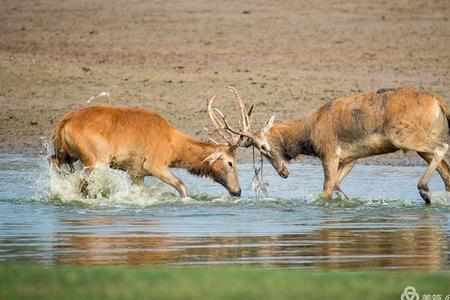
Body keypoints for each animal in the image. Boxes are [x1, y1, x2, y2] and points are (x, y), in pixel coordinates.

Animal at [51, 96, 251, 199]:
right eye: (231, 162)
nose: (238, 191)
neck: (174, 148)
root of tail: (63, 124)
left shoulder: (136, 173)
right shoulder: (155, 164)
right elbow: (182, 186)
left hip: (65, 155)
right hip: (95, 159)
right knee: (82, 186)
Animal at [220, 86, 450, 204]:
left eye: (263, 147)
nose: (283, 173)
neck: (310, 132)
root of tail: (439, 102)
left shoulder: (329, 152)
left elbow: (327, 189)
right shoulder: (350, 158)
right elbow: (338, 186)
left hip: (403, 135)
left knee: (442, 148)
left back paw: (424, 190)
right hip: (423, 138)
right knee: (446, 171)